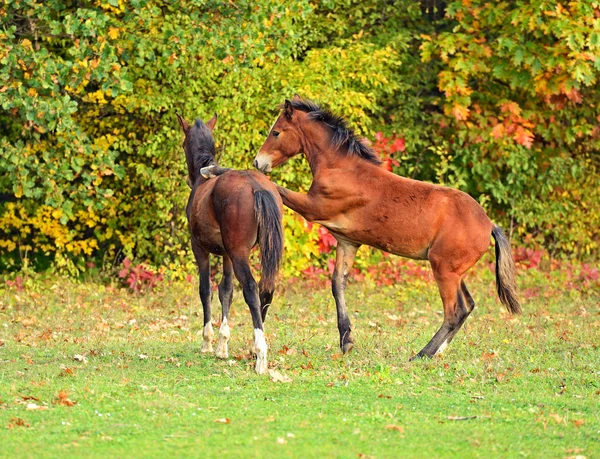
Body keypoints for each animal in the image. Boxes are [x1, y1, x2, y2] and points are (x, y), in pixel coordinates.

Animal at [176, 112, 284, 374]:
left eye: (183, 144)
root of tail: (255, 186)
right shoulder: (226, 255)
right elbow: (226, 290)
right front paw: (222, 345)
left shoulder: (200, 249)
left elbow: (205, 290)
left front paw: (207, 342)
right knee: (266, 289)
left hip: (239, 254)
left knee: (251, 289)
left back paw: (260, 355)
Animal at [250, 97, 520, 362]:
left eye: (276, 132)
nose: (258, 161)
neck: (342, 168)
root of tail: (489, 225)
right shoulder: (347, 241)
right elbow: (338, 284)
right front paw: (346, 340)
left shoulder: (313, 207)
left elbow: (281, 190)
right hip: (454, 272)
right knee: (468, 306)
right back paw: (438, 352)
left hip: (444, 270)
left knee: (455, 311)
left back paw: (422, 354)